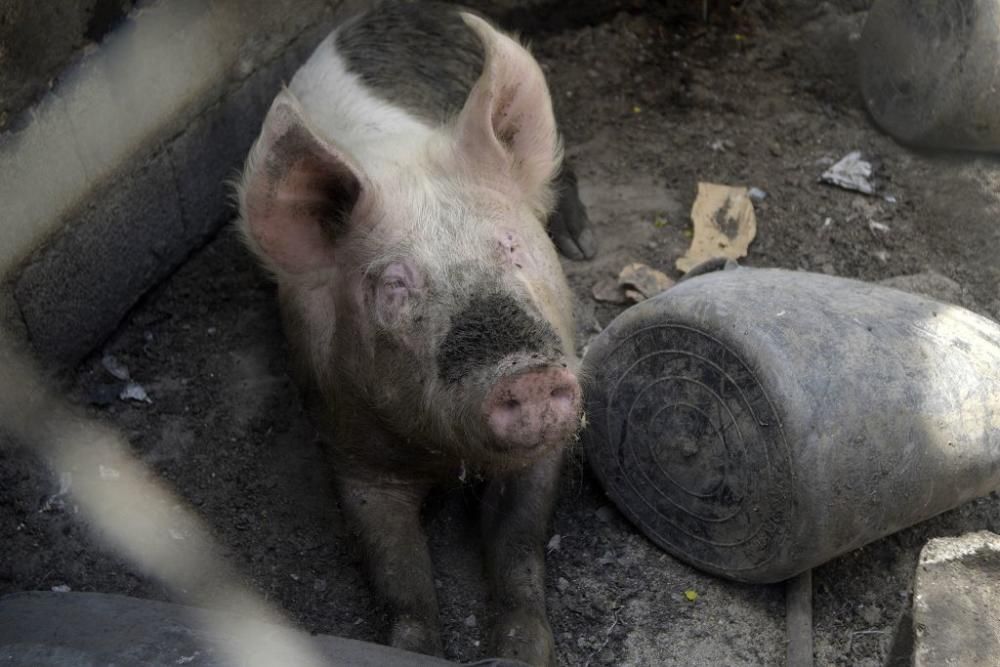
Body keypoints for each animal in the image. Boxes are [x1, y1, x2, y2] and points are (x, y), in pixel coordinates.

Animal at [234, 2, 592, 664]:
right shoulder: (350, 451)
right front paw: (415, 648)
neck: (448, 458)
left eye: (511, 247)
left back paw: (584, 243)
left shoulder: (548, 448)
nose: (525, 375)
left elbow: (519, 545)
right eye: (394, 285)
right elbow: (397, 572)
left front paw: (521, 650)